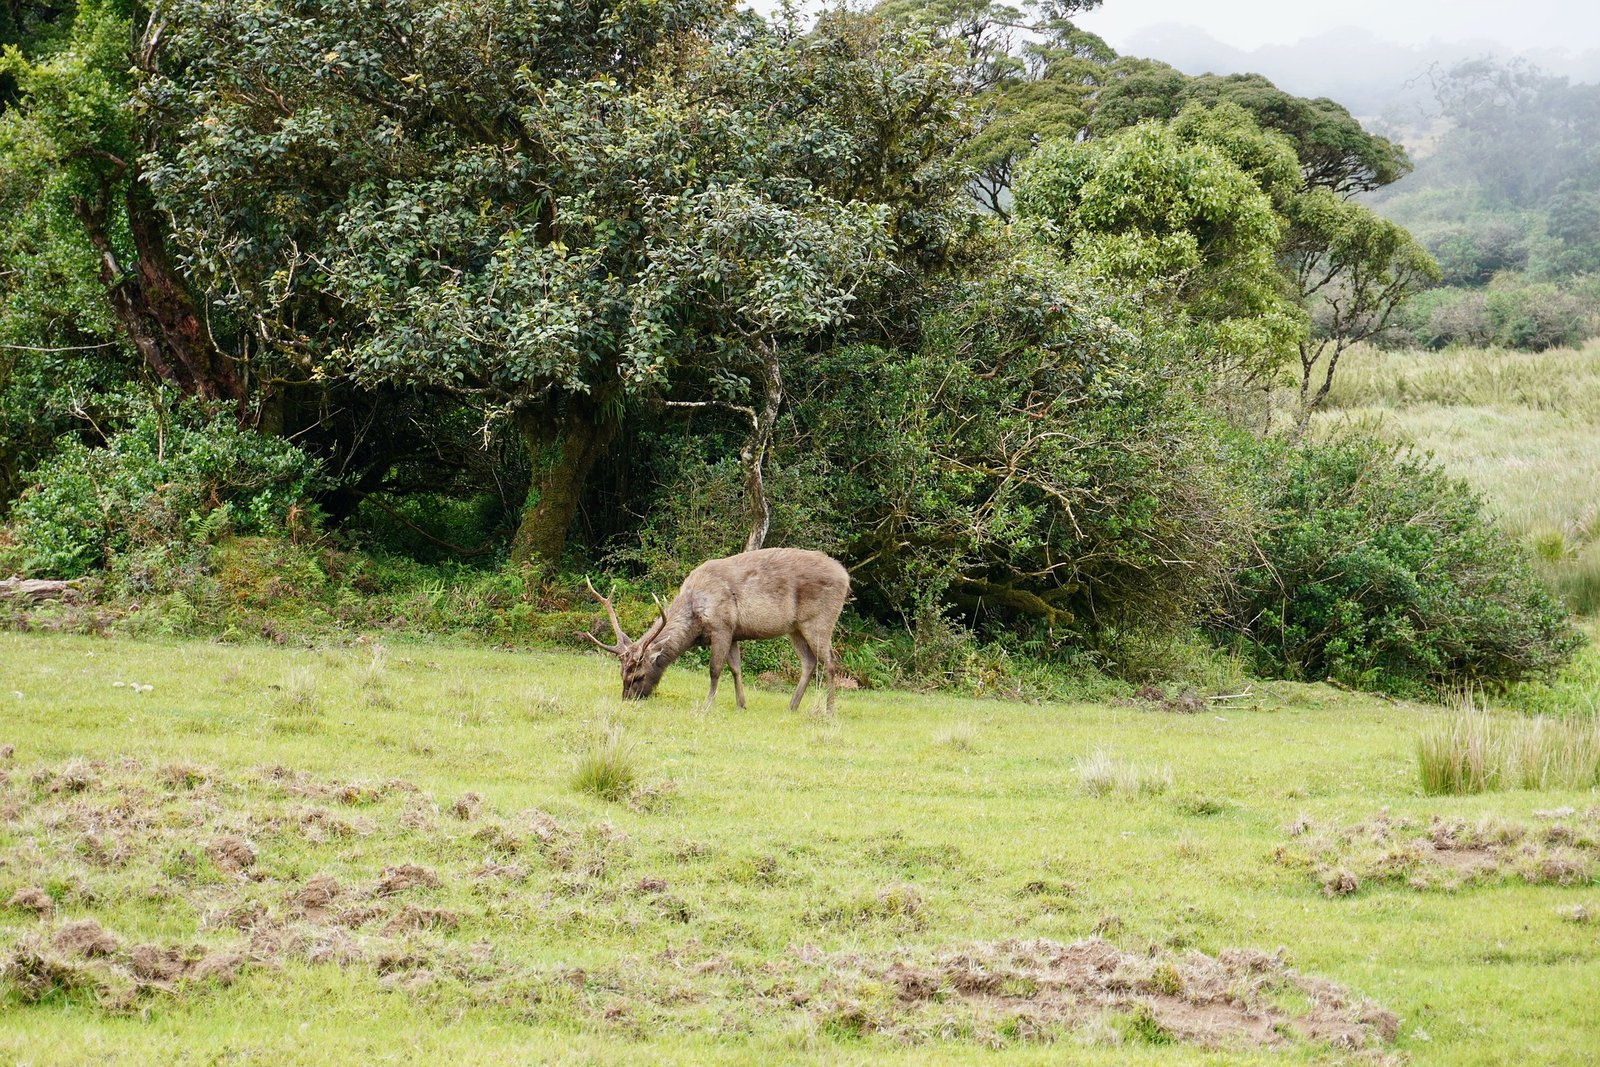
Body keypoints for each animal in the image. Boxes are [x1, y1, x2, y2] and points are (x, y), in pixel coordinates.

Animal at [579, 547, 851, 713]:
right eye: (621, 674)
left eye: (639, 675)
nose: (627, 699)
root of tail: (846, 576)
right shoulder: (733, 632)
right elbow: (736, 669)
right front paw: (741, 704)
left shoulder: (722, 626)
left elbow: (715, 669)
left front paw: (707, 704)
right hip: (795, 627)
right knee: (809, 662)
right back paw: (792, 705)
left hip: (820, 619)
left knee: (830, 661)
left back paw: (829, 710)